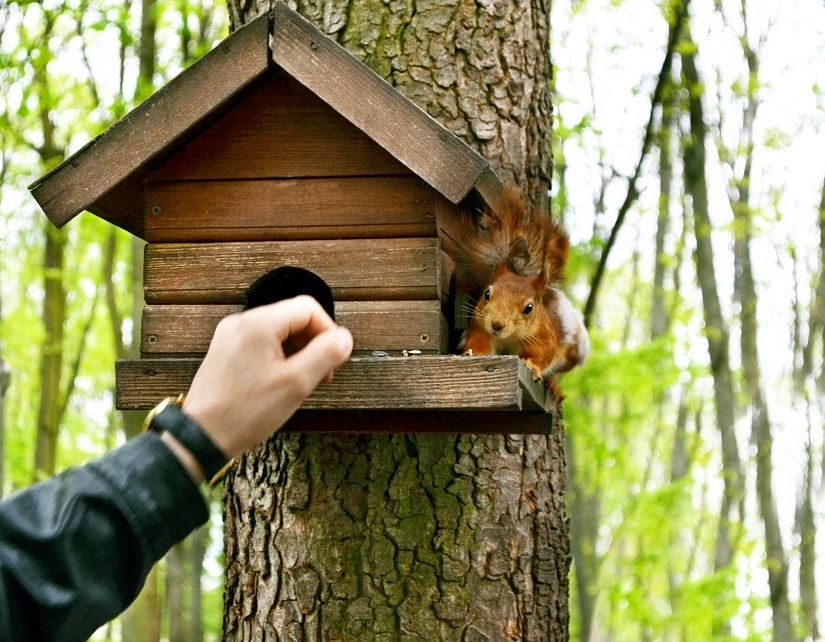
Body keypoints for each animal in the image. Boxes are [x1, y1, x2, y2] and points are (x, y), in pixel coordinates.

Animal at [454, 185, 588, 384]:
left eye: (529, 308)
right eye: (487, 294)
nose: (497, 324)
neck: (510, 337)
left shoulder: (543, 337)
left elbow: (542, 354)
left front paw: (532, 366)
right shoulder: (480, 326)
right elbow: (478, 344)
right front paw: (473, 353)